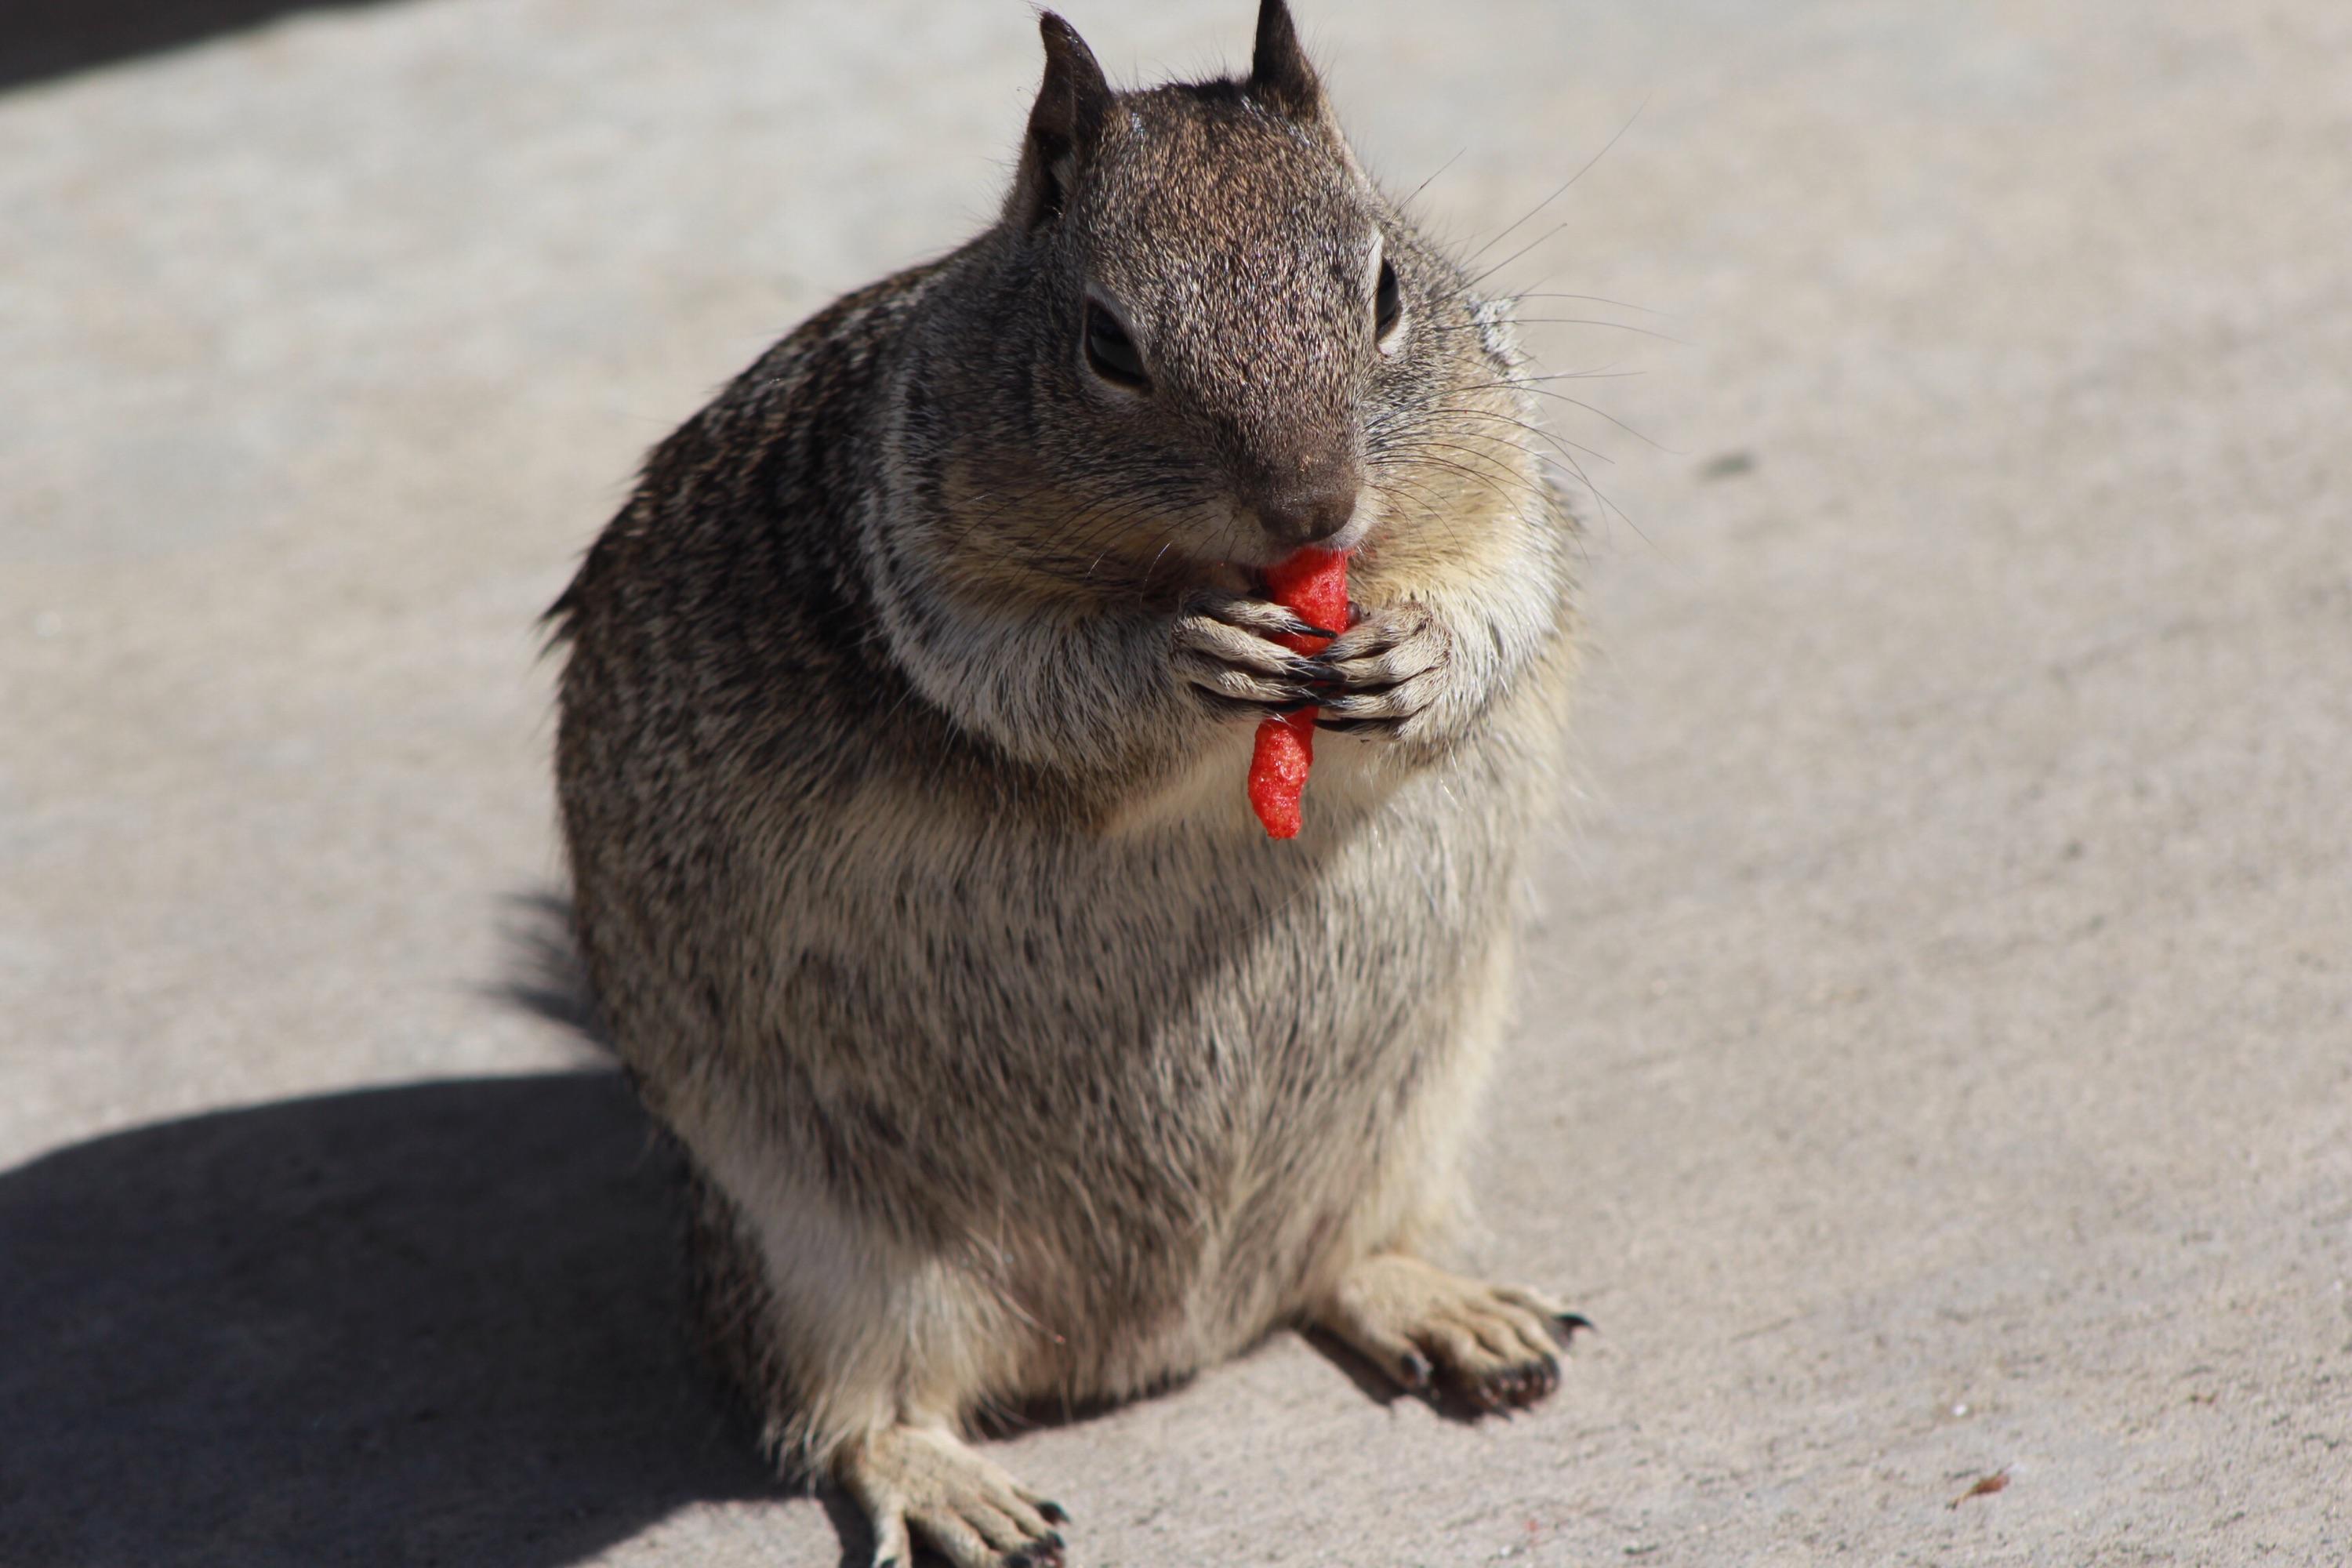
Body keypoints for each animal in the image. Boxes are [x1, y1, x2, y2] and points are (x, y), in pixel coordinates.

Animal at [550, 4, 1585, 1564]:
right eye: (1107, 343)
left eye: (1389, 288)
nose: (1314, 511)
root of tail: (1154, 1346)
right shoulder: (921, 576)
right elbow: (1042, 687)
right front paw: (1185, 659)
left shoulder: (1505, 463)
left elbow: (1511, 582)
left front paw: (1420, 656)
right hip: (818, 1255)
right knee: (852, 1415)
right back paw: (953, 1488)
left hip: (1414, 1119)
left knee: (1334, 1267)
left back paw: (1447, 1308)